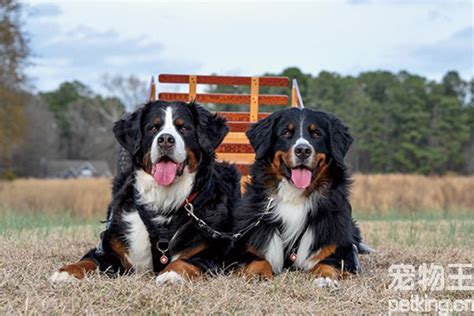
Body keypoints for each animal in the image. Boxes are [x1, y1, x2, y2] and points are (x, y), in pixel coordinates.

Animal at [51, 100, 241, 284]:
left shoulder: (213, 253)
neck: (164, 200)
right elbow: (89, 260)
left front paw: (171, 273)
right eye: (153, 128)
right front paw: (66, 272)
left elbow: (188, 260)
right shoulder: (111, 251)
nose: (165, 139)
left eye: (184, 128)